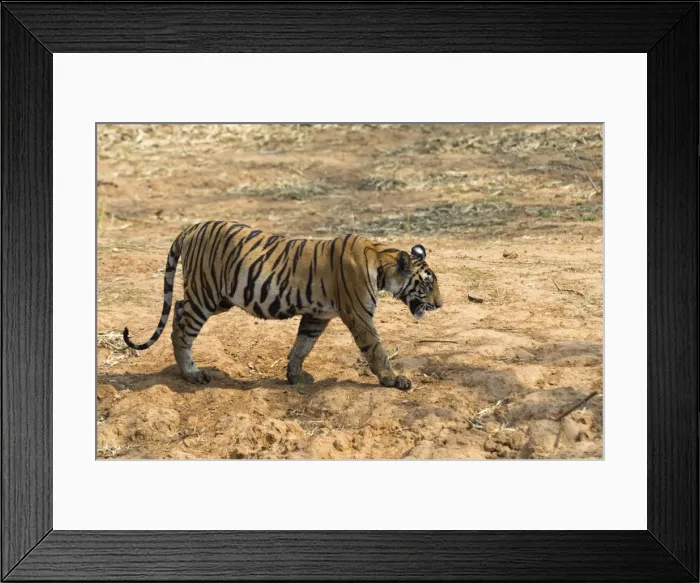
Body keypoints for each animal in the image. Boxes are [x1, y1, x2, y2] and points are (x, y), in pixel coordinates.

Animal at [123, 221, 442, 390]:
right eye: (427, 285)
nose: (440, 304)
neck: (382, 262)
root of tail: (191, 228)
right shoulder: (359, 316)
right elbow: (376, 350)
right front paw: (394, 380)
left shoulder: (317, 315)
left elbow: (302, 346)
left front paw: (295, 376)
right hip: (206, 295)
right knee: (181, 327)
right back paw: (191, 373)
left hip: (217, 298)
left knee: (177, 308)